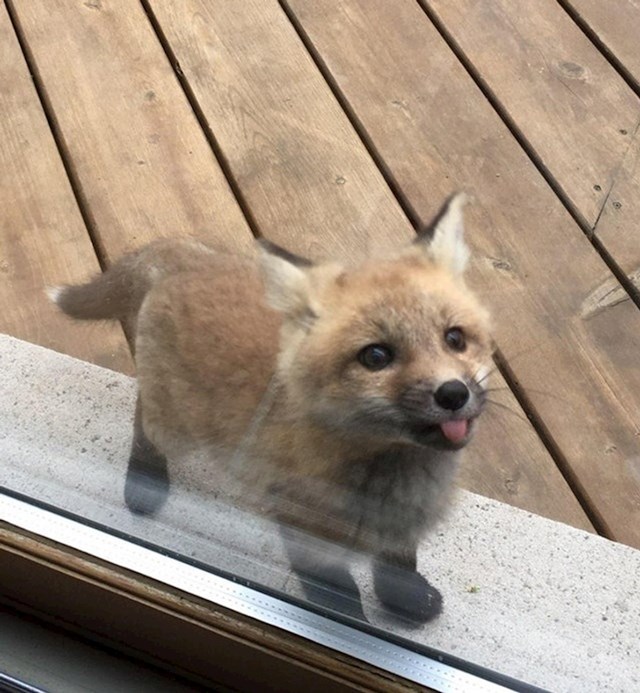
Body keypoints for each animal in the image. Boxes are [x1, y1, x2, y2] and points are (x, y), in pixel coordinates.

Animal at [51, 192, 496, 624]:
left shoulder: (402, 526)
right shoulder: (302, 527)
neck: (391, 476)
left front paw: (405, 600)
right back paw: (145, 481)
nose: (453, 394)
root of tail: (187, 258)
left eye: (455, 338)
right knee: (144, 420)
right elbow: (339, 597)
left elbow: (398, 565)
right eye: (375, 357)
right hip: (176, 428)